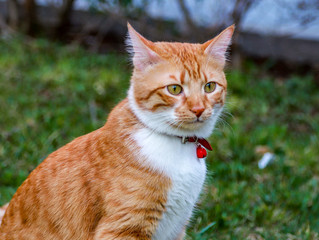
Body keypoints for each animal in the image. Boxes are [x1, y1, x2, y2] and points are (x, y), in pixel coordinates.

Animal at [0, 23, 235, 240]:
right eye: (175, 89)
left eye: (209, 87)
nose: (198, 109)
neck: (177, 144)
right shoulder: (122, 227)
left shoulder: (176, 227)